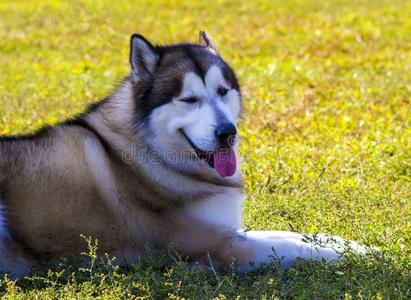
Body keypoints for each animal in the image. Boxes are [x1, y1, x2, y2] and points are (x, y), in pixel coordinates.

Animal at [0, 31, 366, 278]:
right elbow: (295, 246)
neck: (150, 154)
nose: (227, 133)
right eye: (189, 99)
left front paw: (353, 243)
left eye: (223, 91)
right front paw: (361, 255)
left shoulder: (226, 228)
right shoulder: (223, 245)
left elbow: (297, 235)